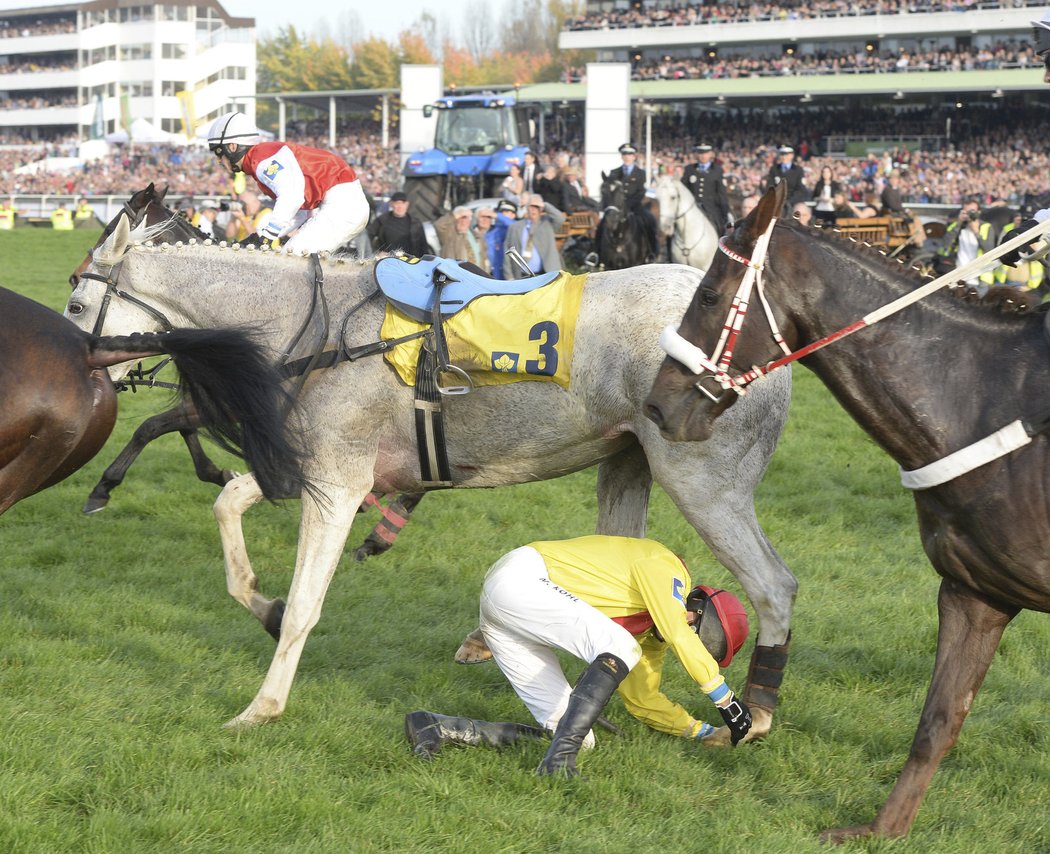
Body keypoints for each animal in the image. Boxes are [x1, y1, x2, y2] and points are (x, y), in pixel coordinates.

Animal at [65, 211, 793, 731]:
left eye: (74, 306)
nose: (75, 373)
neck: (322, 331)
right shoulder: (322, 471)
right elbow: (229, 508)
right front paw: (260, 603)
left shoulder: (338, 484)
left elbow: (305, 602)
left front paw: (262, 705)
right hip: (625, 463)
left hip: (704, 482)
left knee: (773, 585)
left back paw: (756, 709)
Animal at [642, 179, 1050, 840]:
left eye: (707, 294)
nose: (657, 405)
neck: (988, 400)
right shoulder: (975, 593)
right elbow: (938, 719)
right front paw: (883, 831)